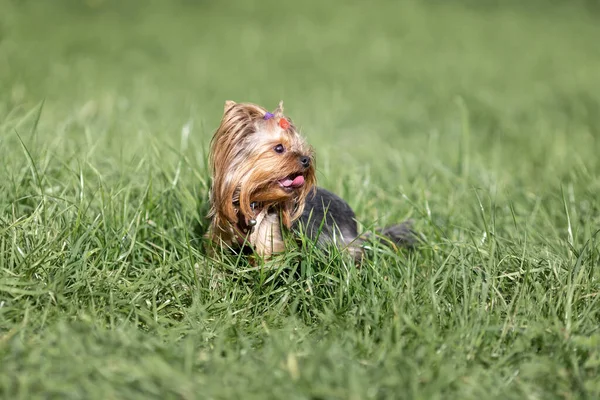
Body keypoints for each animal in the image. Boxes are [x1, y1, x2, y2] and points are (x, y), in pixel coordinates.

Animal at [206, 101, 418, 260]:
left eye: (302, 148)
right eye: (279, 148)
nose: (306, 159)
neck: (254, 200)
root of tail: (355, 225)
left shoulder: (271, 242)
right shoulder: (221, 237)